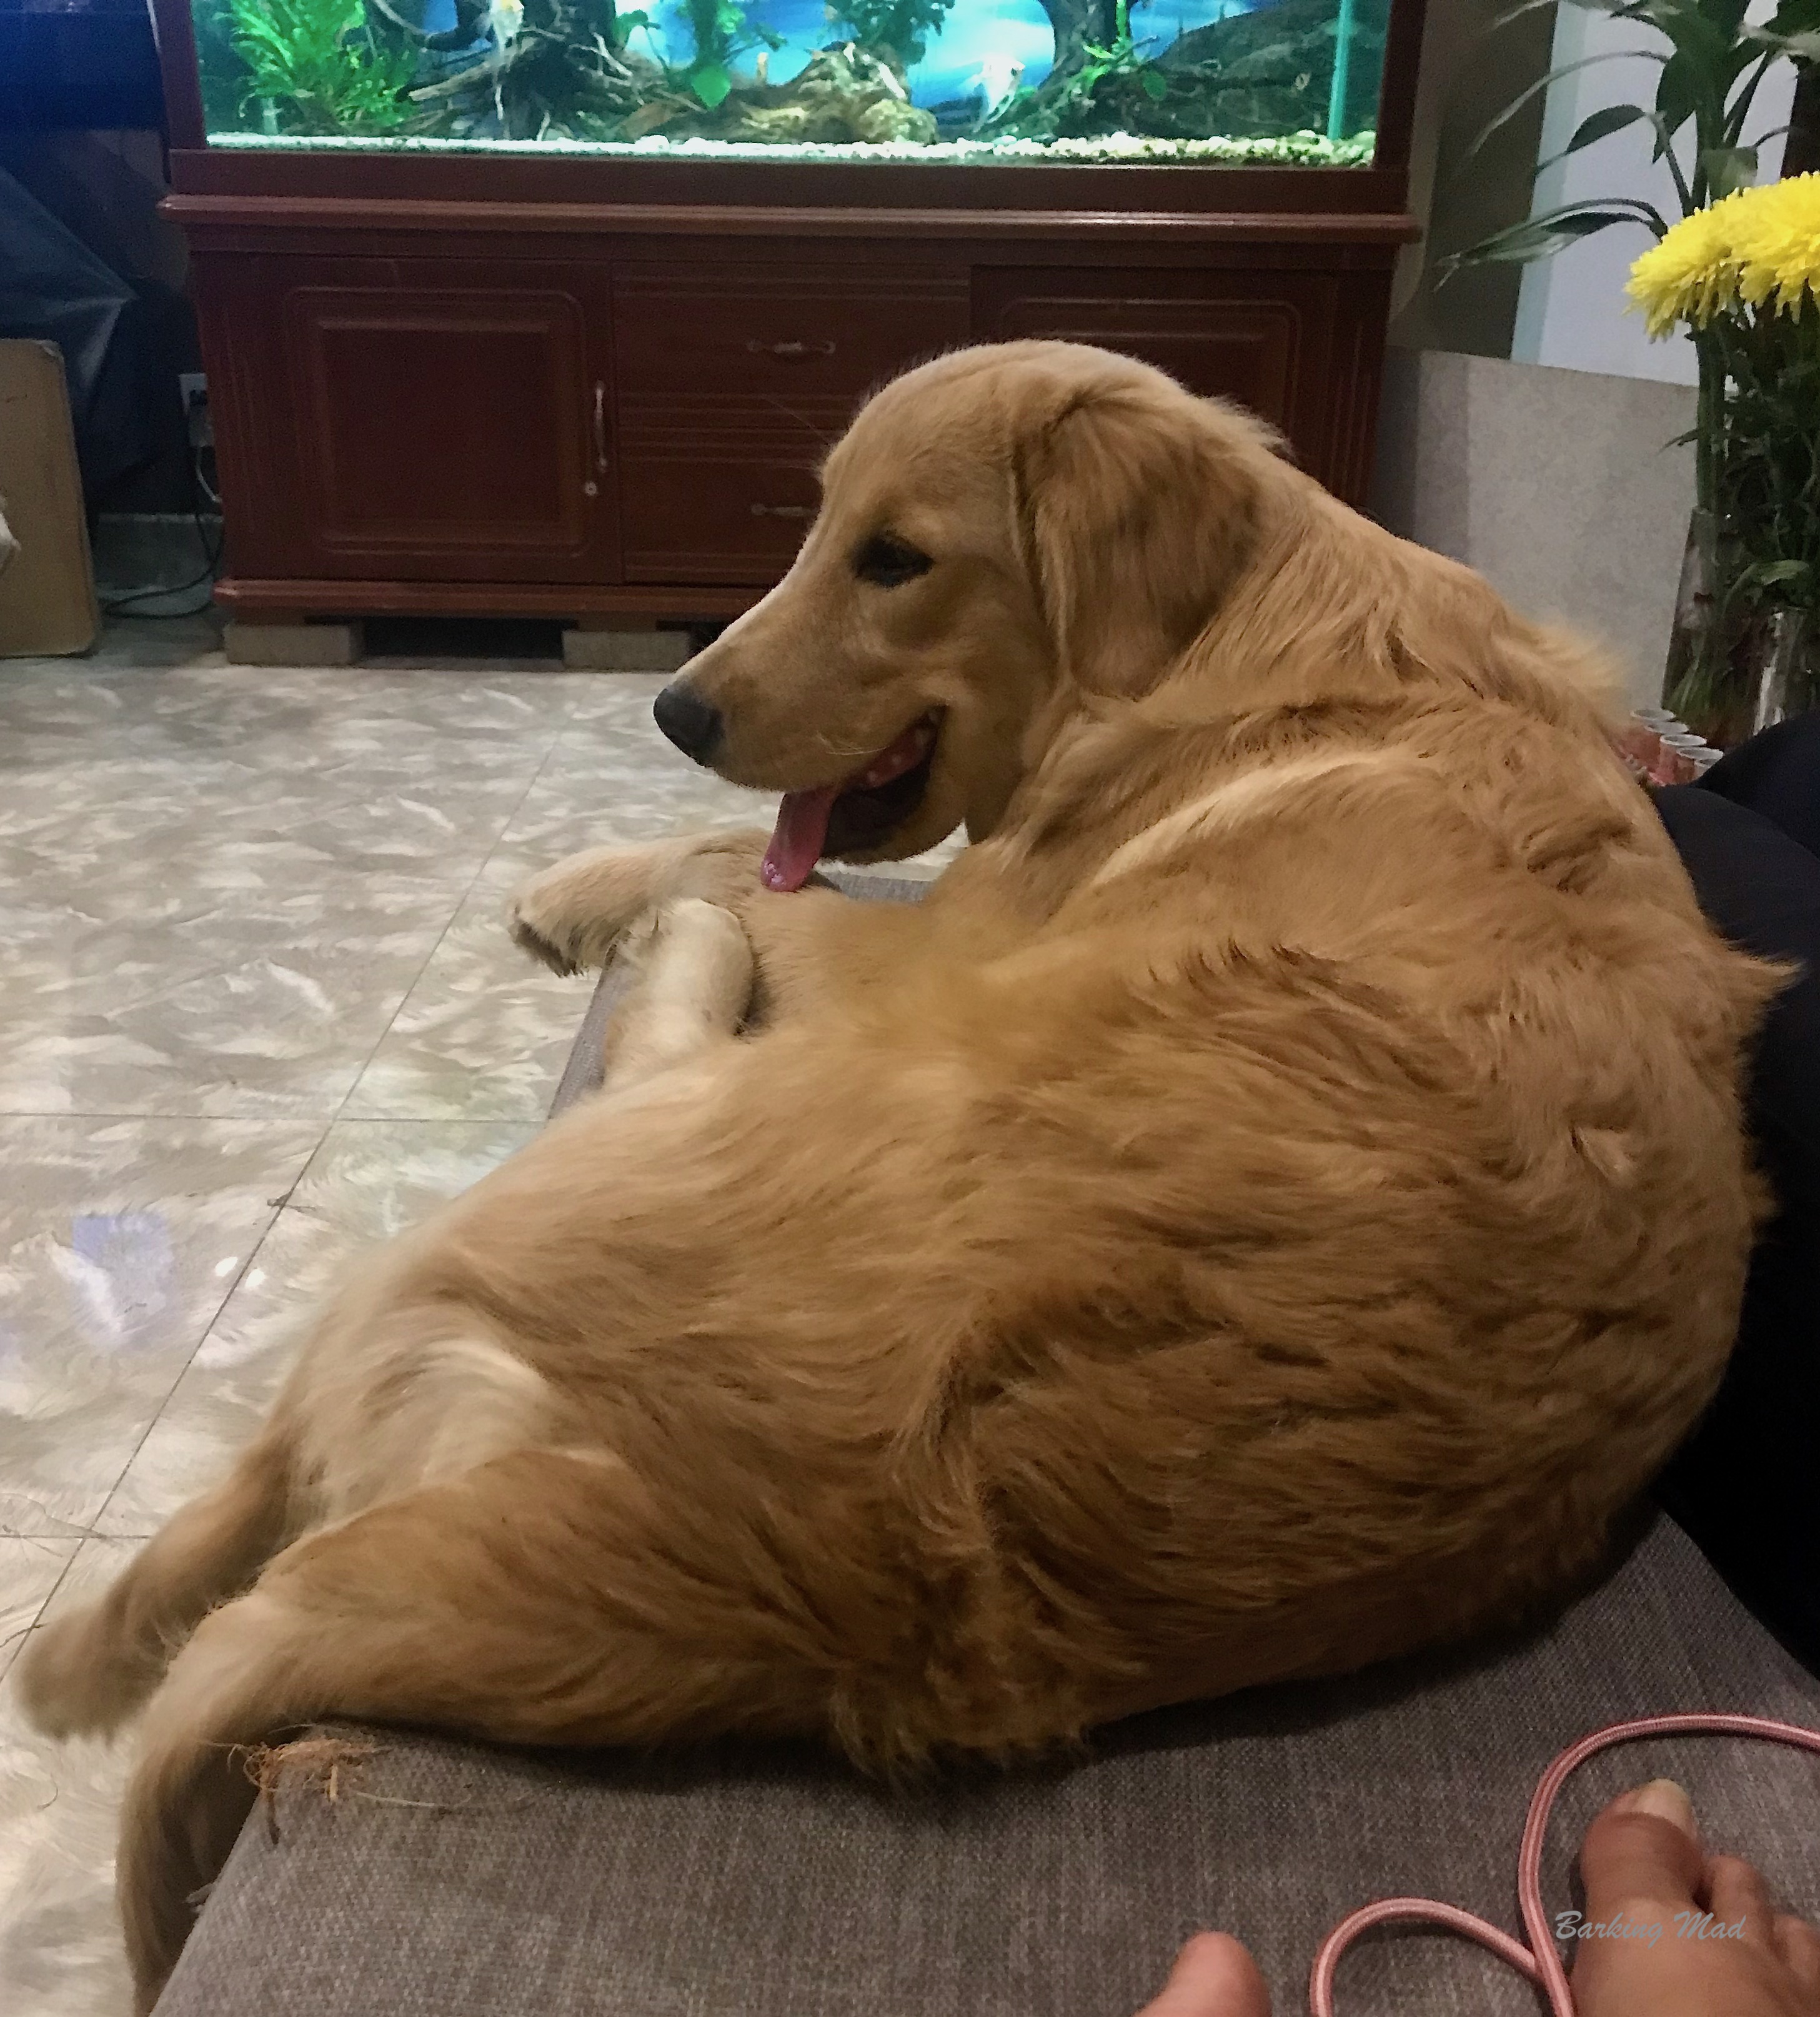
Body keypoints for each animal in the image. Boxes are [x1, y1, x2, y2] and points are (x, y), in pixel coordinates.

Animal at [16, 341, 1774, 2010]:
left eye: (895, 559)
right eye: (819, 529)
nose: (673, 712)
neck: (1235, 660)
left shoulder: (927, 941)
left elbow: (741, 862)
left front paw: (586, 884)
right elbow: (757, 852)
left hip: (615, 1155)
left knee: (292, 1439)